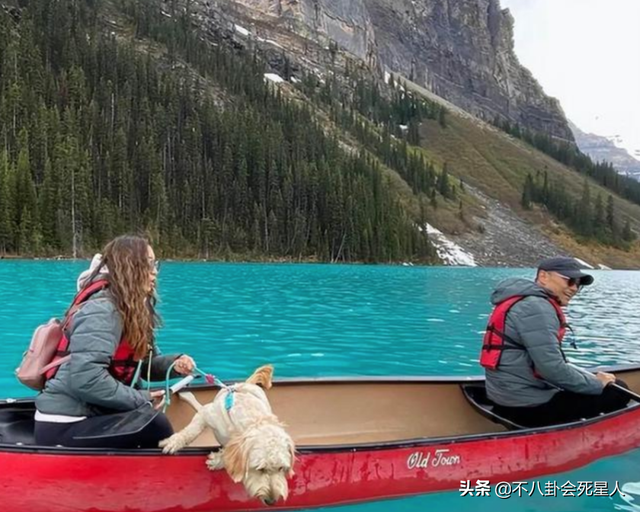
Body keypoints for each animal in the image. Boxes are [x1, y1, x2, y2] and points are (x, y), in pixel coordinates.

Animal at [160, 366, 296, 506]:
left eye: (281, 468)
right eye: (260, 469)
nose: (271, 501)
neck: (255, 419)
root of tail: (244, 384)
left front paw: (217, 461)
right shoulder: (207, 414)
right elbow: (192, 430)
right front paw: (174, 442)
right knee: (198, 406)